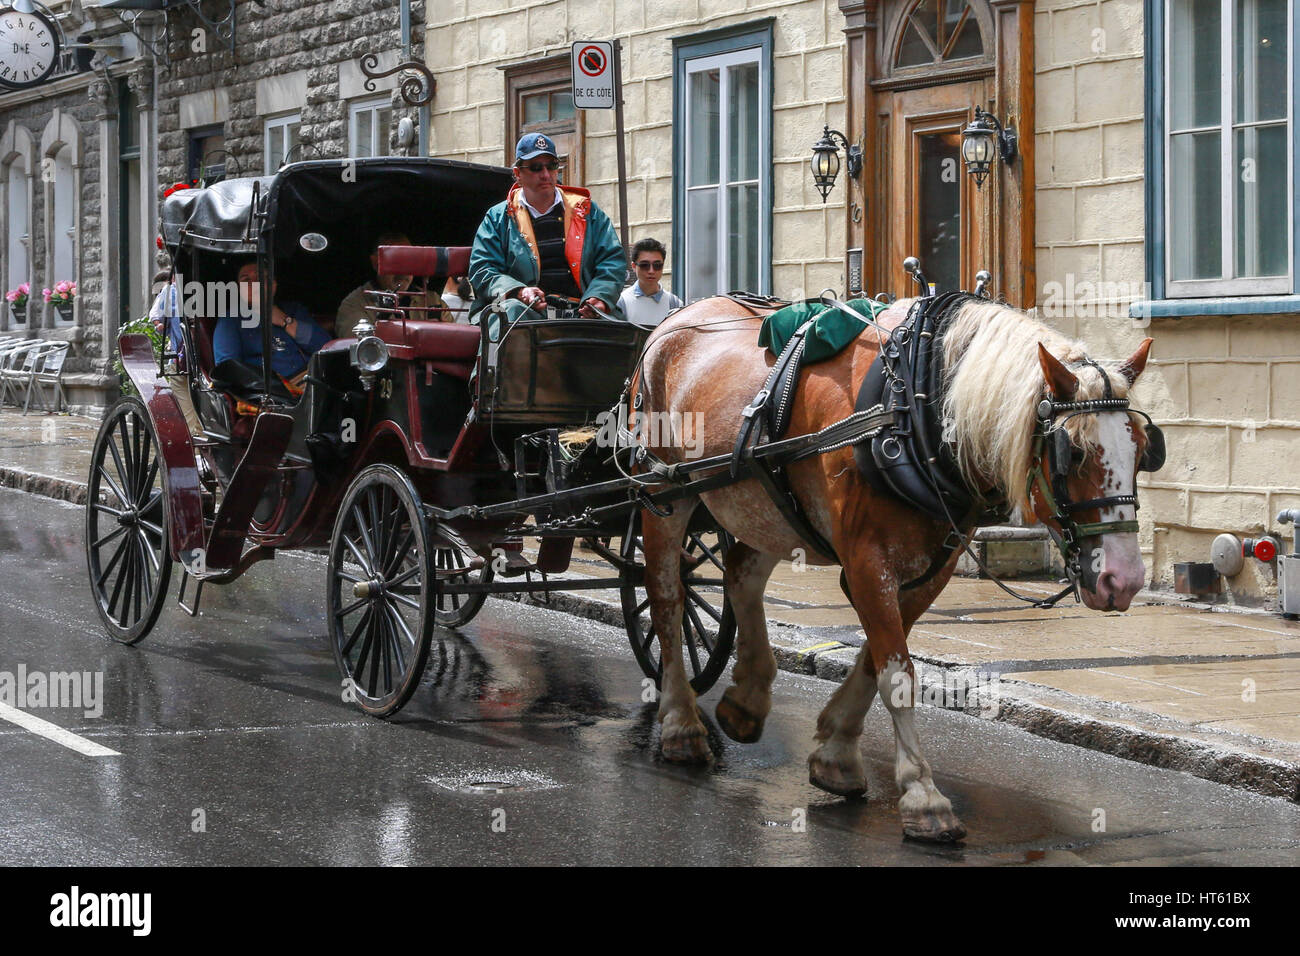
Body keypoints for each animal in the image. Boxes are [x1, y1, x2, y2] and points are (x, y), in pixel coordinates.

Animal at [629, 293, 1155, 842]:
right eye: (1073, 452)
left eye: (1144, 448)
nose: (1124, 581)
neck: (915, 405)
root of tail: (671, 322)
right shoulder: (865, 559)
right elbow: (898, 674)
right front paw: (923, 796)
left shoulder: (935, 565)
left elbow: (876, 657)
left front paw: (836, 752)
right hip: (661, 494)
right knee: (666, 599)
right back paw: (680, 723)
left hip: (765, 500)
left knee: (739, 575)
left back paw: (746, 700)